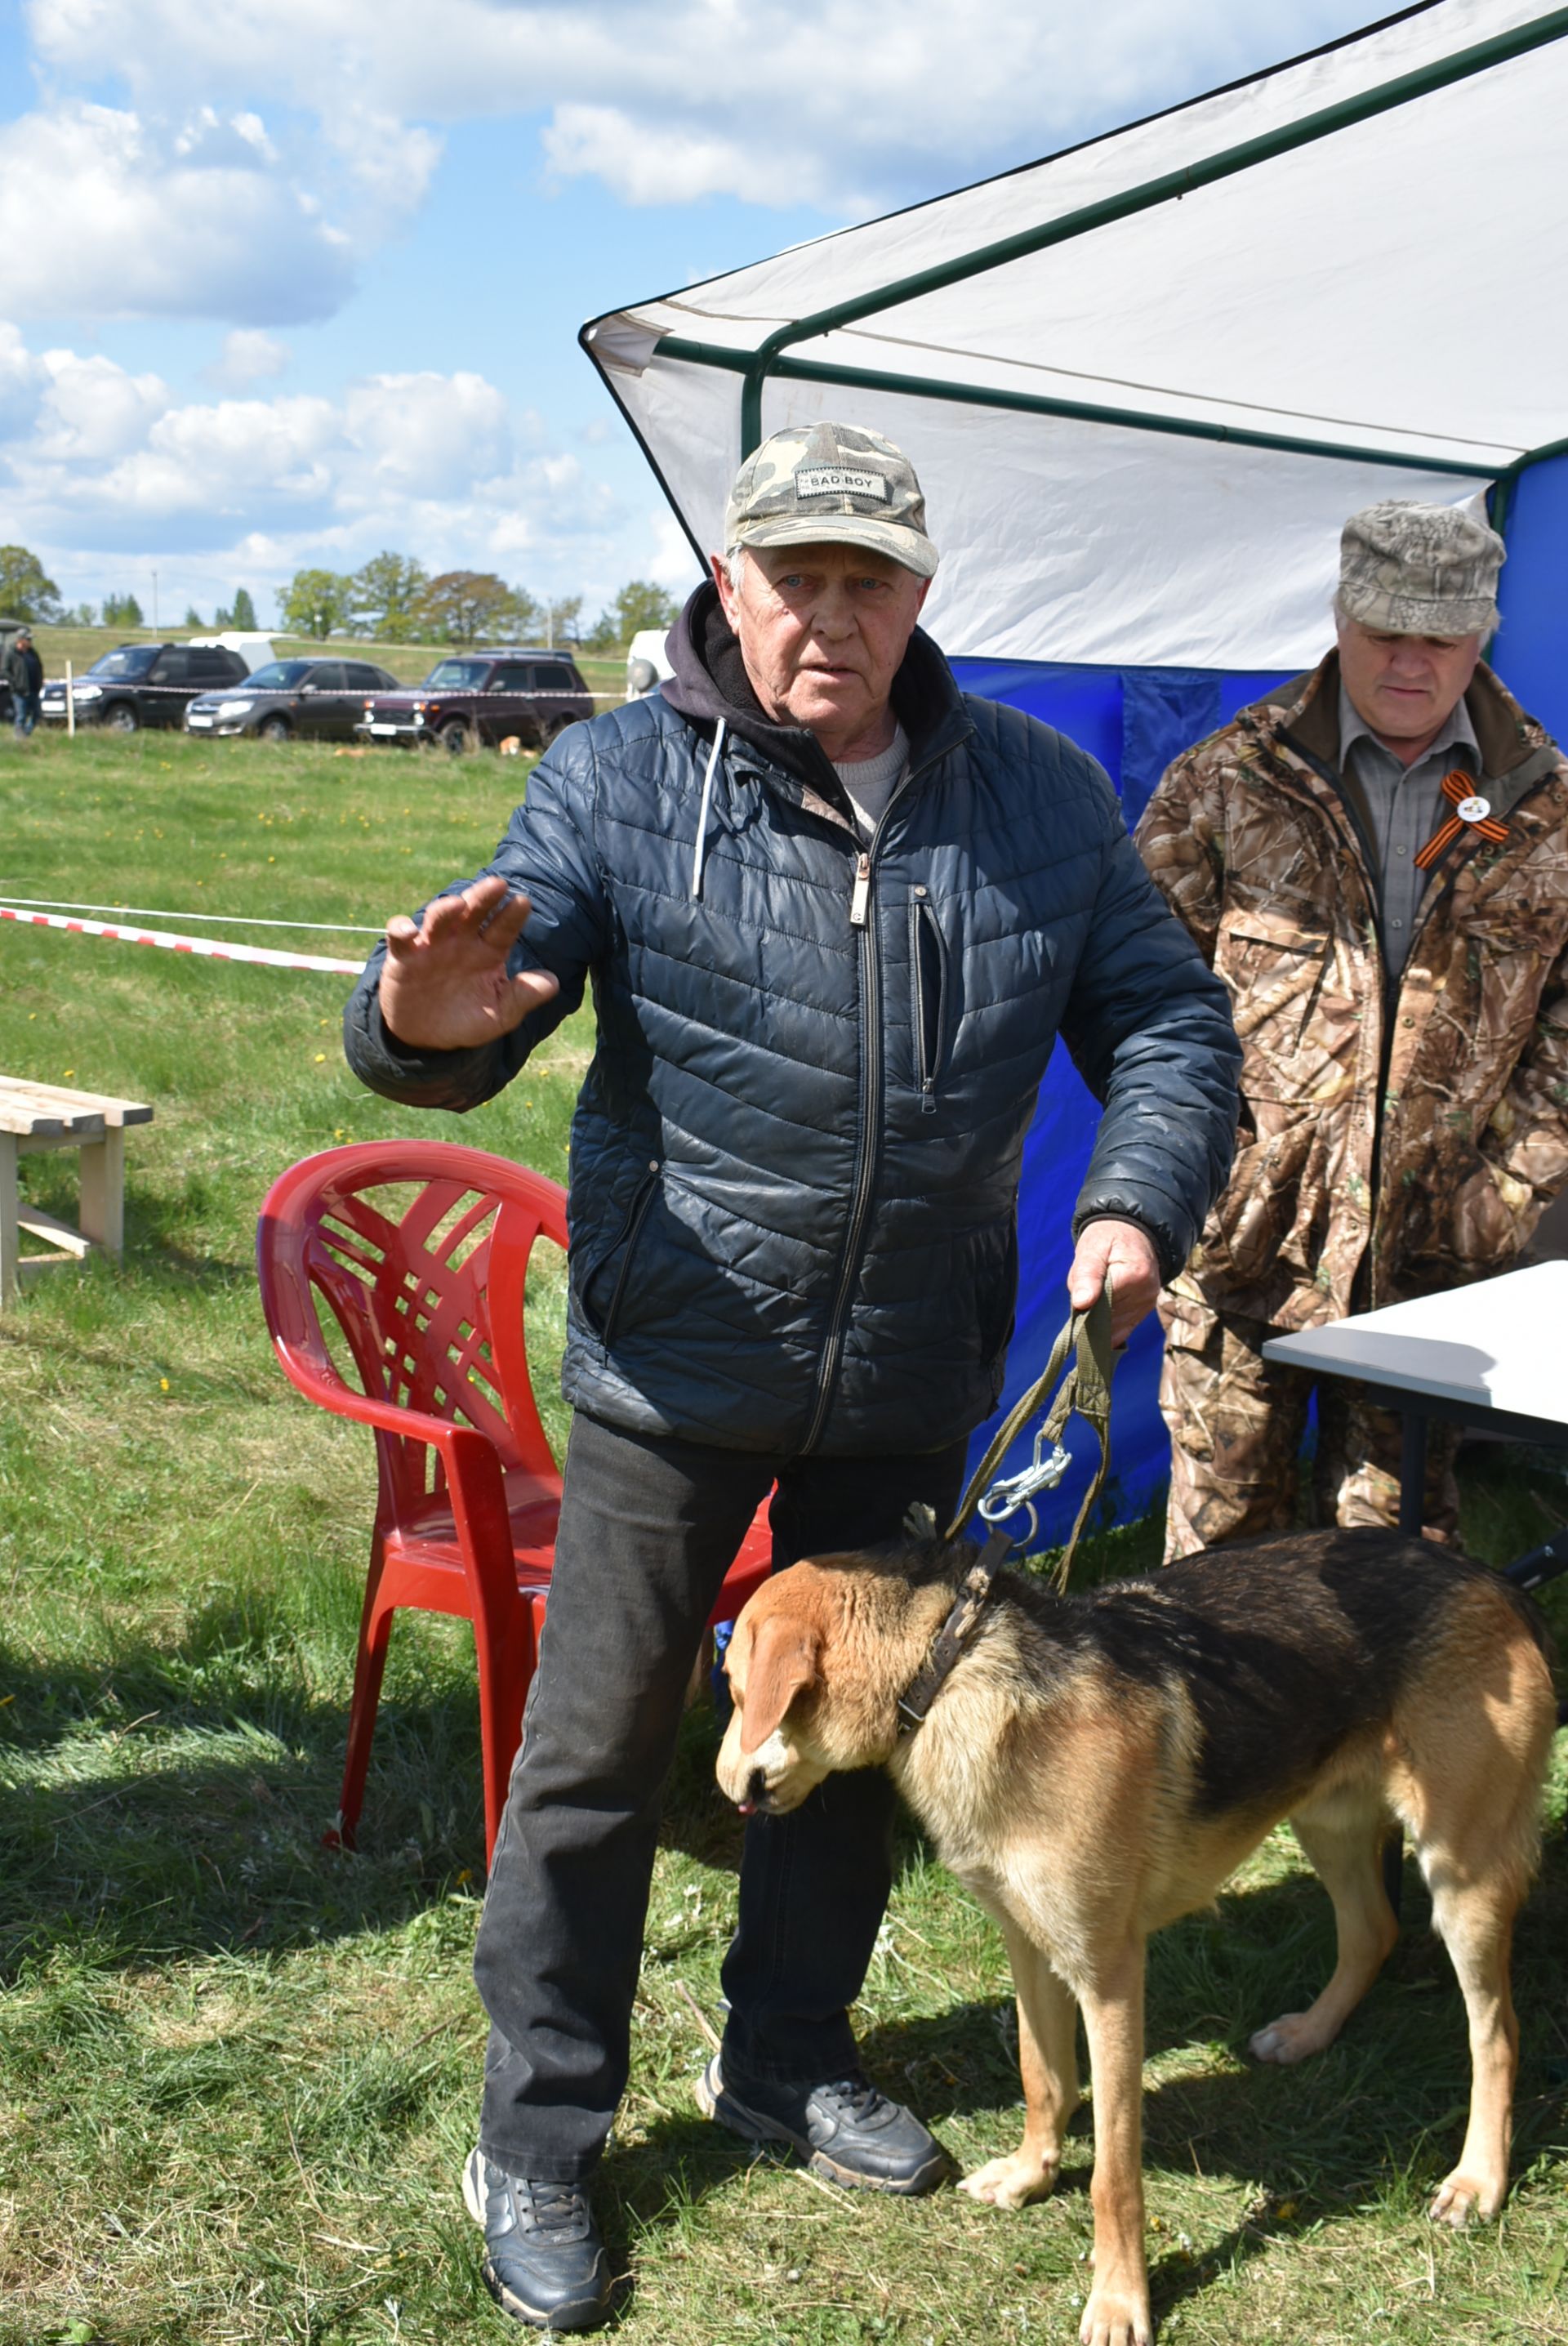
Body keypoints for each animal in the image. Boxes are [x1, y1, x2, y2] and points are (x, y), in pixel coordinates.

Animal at [717, 1529, 1547, 2346]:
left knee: (1498, 2032)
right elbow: (1043, 2078)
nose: (727, 1786)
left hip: (1461, 1878)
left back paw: (1478, 2180)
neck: (948, 1668)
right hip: (1328, 1823)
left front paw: (1119, 2301)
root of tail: (1491, 1577)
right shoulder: (1029, 1947)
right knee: (1373, 1932)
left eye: (734, 1690)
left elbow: (1113, 2176)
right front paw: (1032, 2174)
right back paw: (1308, 2033)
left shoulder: (1109, 1977)